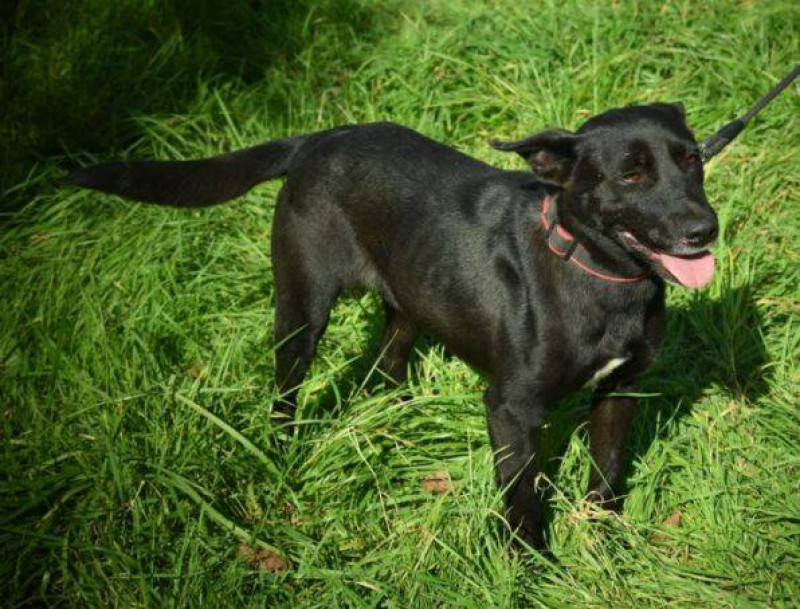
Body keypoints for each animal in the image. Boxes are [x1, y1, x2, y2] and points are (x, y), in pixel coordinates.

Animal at [67, 102, 718, 548]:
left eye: (692, 159)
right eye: (631, 175)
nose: (704, 230)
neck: (599, 272)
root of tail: (319, 139)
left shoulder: (622, 389)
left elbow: (606, 474)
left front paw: (605, 545)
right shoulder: (511, 410)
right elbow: (523, 503)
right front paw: (533, 567)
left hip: (410, 300)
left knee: (387, 363)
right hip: (301, 310)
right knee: (287, 391)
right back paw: (282, 451)